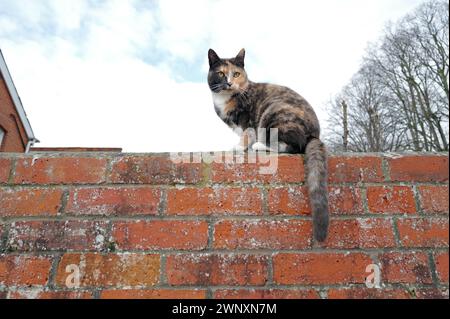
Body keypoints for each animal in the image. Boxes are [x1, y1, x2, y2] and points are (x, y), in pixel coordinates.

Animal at [208, 48, 330, 241]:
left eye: (236, 74)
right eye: (220, 73)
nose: (229, 82)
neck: (226, 99)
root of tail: (314, 134)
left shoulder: (247, 119)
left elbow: (247, 134)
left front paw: (239, 147)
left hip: (273, 112)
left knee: (293, 146)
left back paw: (261, 145)